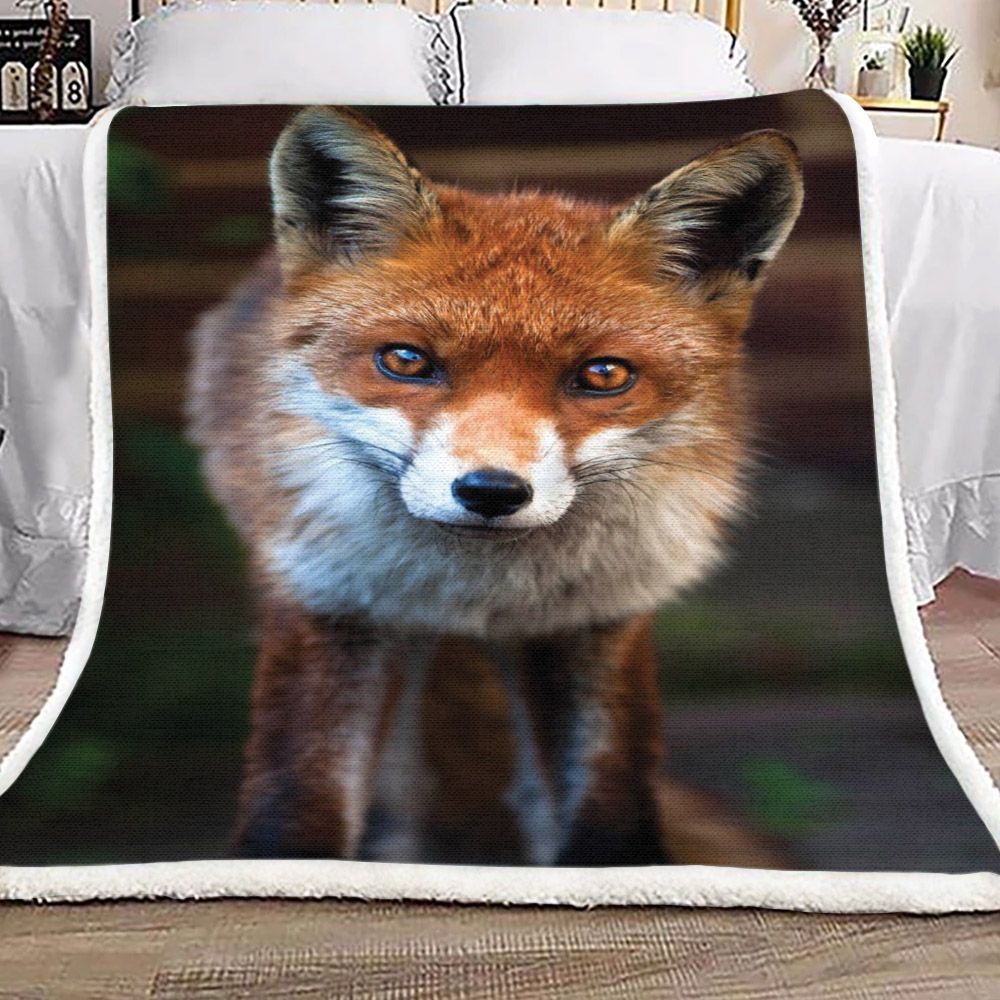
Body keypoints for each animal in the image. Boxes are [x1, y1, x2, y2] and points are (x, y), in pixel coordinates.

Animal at [189, 107, 804, 867]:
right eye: (406, 360)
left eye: (604, 375)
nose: (489, 491)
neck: (483, 591)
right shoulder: (331, 604)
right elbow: (298, 811)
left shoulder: (593, 624)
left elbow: (603, 812)